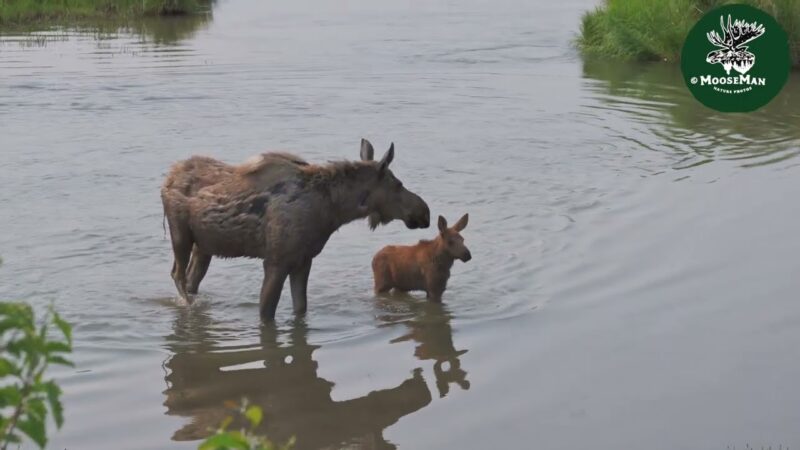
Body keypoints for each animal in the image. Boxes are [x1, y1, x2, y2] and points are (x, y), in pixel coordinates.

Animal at [159, 141, 428, 320]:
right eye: (397, 184)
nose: (424, 212)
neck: (332, 211)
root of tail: (167, 178)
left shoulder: (303, 260)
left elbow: (300, 308)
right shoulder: (276, 261)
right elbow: (267, 312)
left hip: (204, 246)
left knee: (191, 279)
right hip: (180, 236)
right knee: (177, 275)